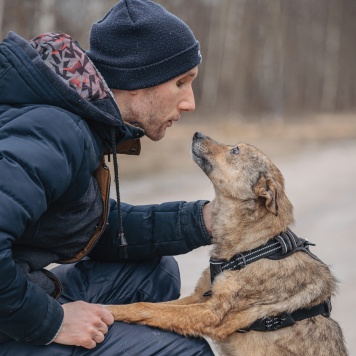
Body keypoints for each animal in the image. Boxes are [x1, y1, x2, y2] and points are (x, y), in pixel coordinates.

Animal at [106, 132, 348, 354]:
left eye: (235, 150)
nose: (196, 133)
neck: (253, 246)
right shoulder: (198, 297)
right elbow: (154, 306)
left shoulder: (212, 314)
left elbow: (146, 308)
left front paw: (107, 311)